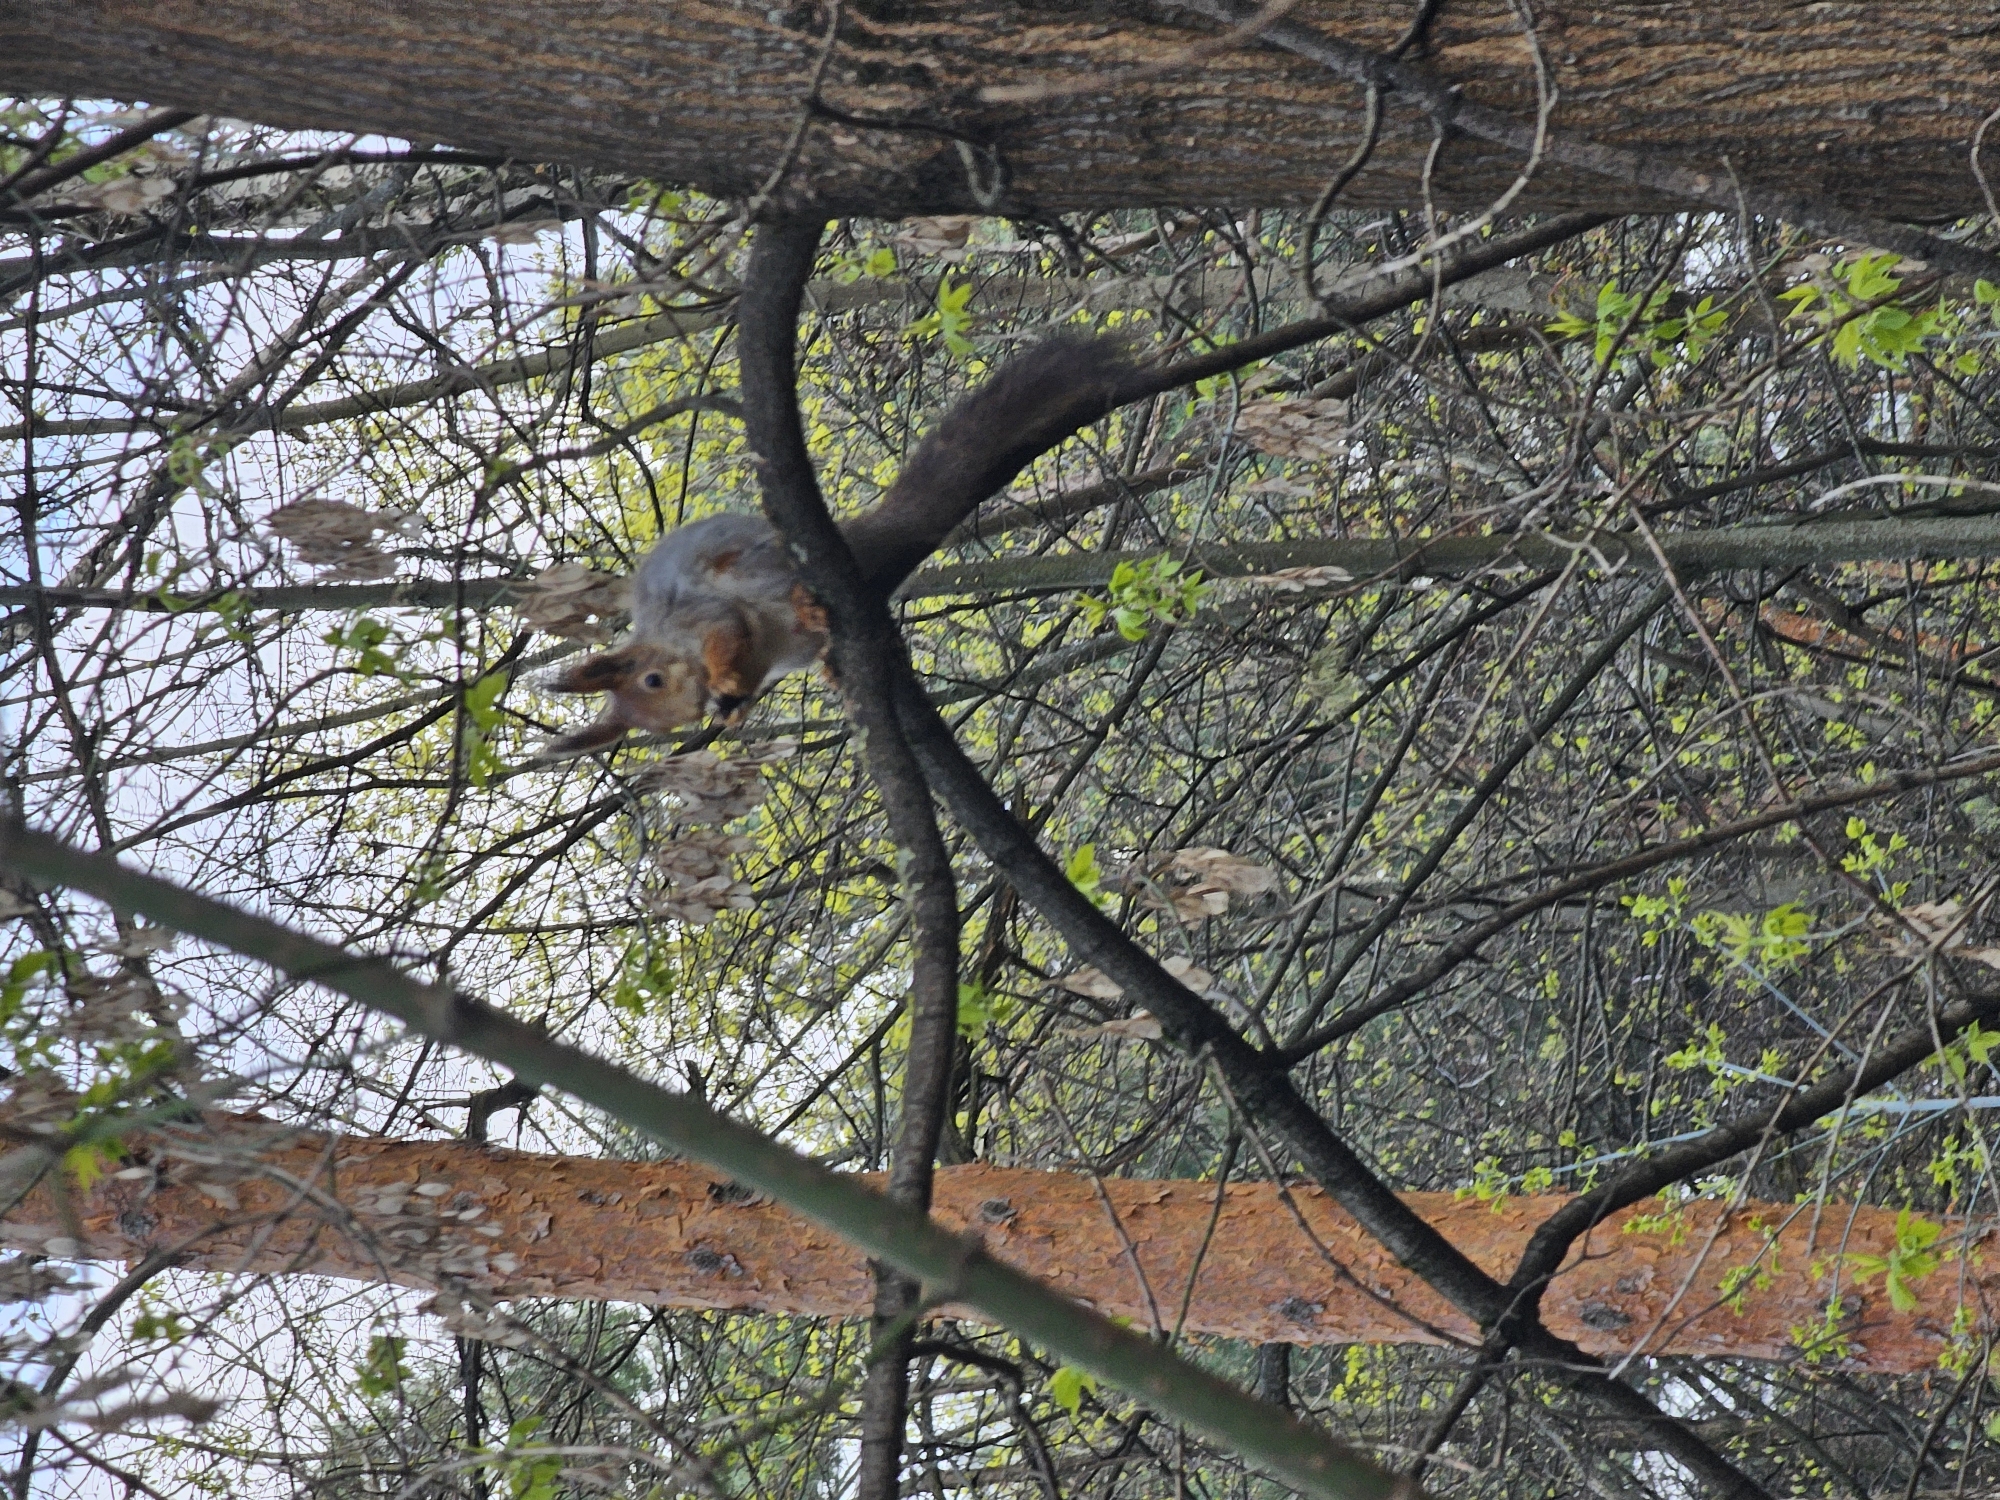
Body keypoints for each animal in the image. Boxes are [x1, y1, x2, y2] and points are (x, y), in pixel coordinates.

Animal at [543, 335, 1135, 757]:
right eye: (674, 719)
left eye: (654, 679)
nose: (714, 702)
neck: (670, 640)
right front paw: (735, 706)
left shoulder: (702, 613)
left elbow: (728, 631)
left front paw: (727, 676)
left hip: (759, 562)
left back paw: (807, 604)